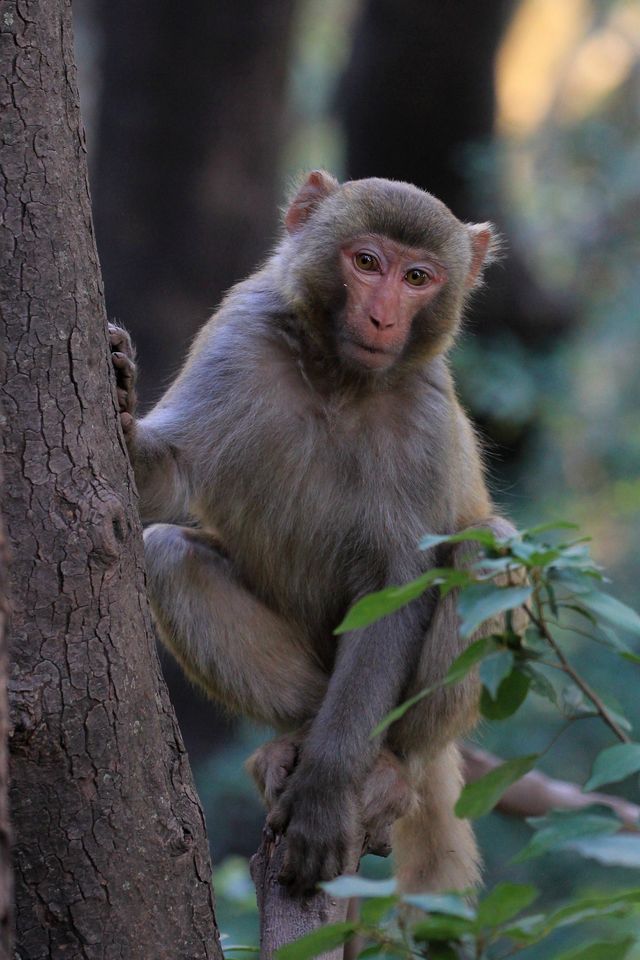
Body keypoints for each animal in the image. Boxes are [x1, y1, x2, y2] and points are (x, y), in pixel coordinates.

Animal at [110, 169, 516, 896]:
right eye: (367, 263)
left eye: (418, 277)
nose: (382, 317)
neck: (338, 378)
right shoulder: (240, 332)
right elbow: (171, 476)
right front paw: (123, 404)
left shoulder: (424, 415)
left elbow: (396, 585)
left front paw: (326, 794)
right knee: (169, 555)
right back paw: (293, 741)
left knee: (486, 550)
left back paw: (389, 769)